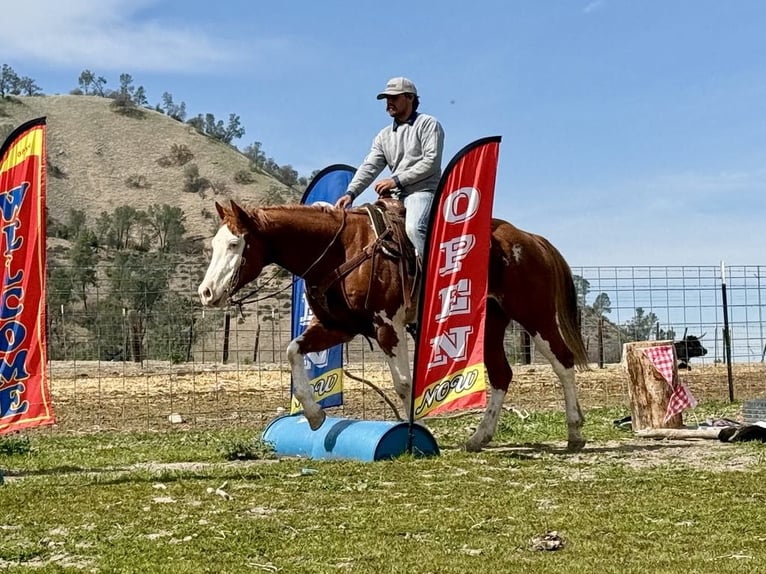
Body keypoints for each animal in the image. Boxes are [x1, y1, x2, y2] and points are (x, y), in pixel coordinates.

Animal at [198, 200, 590, 451]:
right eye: (214, 244)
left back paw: (574, 432)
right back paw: (480, 438)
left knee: (563, 362)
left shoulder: (388, 325)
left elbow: (403, 383)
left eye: (235, 243)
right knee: (501, 375)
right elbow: (294, 351)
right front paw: (313, 415)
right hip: (493, 321)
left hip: (535, 315)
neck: (341, 249)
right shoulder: (339, 326)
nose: (206, 292)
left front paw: (414, 433)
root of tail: (530, 240)